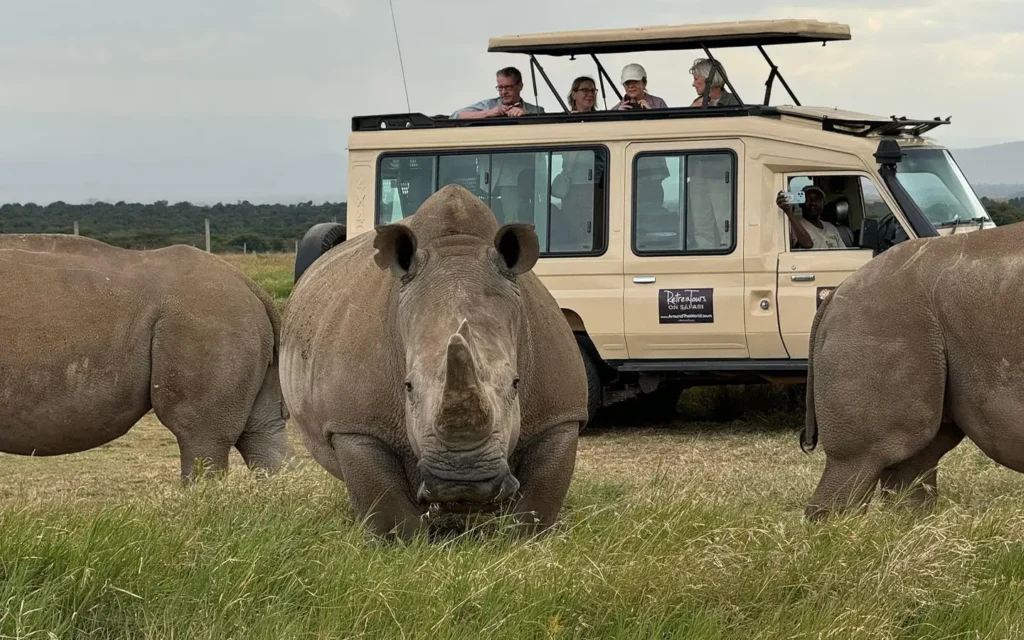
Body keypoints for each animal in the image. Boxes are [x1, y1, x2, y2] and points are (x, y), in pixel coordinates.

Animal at [280, 184, 589, 540]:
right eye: (408, 386)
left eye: (515, 383)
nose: (464, 483)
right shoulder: (354, 424)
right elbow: (388, 510)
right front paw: (405, 543)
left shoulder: (560, 412)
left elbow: (538, 502)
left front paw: (523, 539)